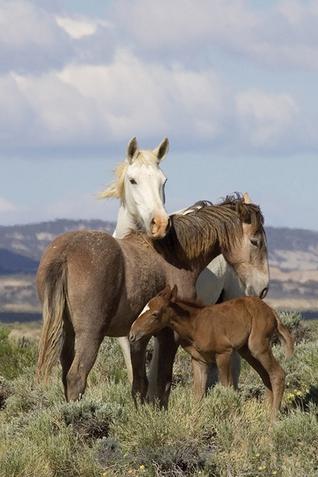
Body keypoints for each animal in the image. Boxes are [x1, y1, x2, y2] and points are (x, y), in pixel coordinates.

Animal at [36, 195, 268, 404]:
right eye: (255, 241)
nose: (263, 288)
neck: (174, 257)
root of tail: (65, 253)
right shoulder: (169, 334)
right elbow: (163, 382)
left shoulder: (139, 336)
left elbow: (140, 384)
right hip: (90, 334)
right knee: (76, 377)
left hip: (68, 332)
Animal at [129, 284, 294, 418]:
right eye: (143, 309)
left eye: (155, 314)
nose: (132, 335)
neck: (195, 324)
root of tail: (272, 311)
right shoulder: (199, 360)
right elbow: (198, 393)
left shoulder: (224, 353)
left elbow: (227, 388)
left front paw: (232, 418)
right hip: (247, 351)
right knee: (265, 375)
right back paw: (266, 413)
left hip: (258, 346)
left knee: (277, 374)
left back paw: (273, 418)